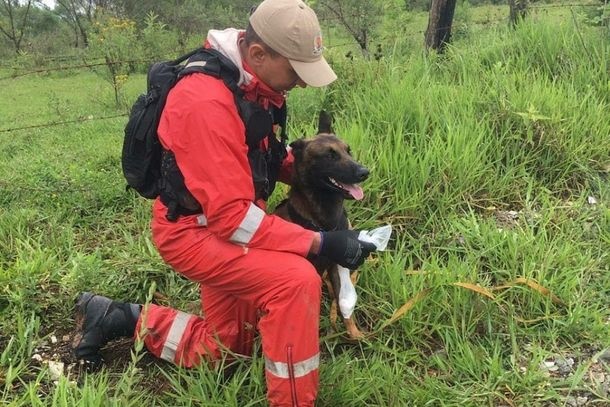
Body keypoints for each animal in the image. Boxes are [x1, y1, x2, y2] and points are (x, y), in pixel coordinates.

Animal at [274, 112, 368, 342]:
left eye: (348, 150)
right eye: (330, 156)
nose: (365, 172)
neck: (326, 224)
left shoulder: (337, 266)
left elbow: (344, 308)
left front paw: (354, 334)